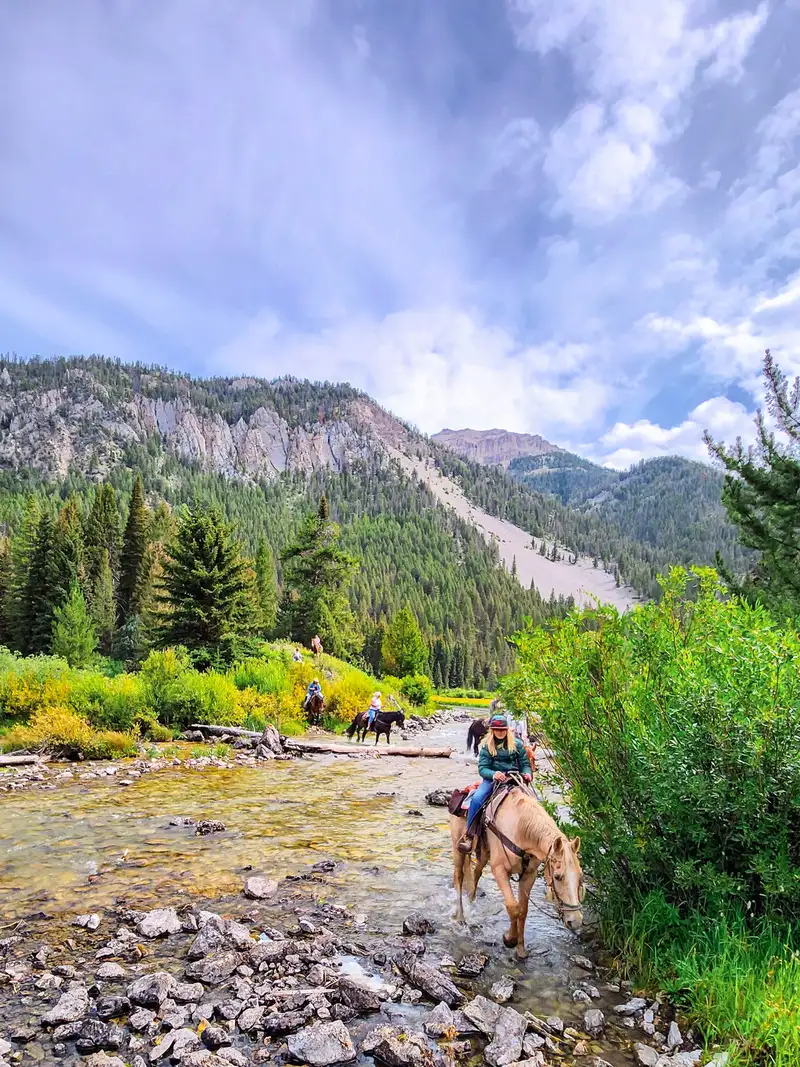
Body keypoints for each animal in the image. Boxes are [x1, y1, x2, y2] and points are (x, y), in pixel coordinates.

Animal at [452, 776, 584, 960]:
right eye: (558, 876)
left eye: (580, 876)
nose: (576, 921)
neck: (521, 829)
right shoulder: (499, 870)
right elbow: (513, 907)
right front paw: (509, 939)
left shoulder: (529, 874)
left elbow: (523, 910)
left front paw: (521, 950)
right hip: (458, 849)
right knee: (458, 877)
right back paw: (461, 918)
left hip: (484, 852)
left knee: (476, 872)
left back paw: (471, 901)